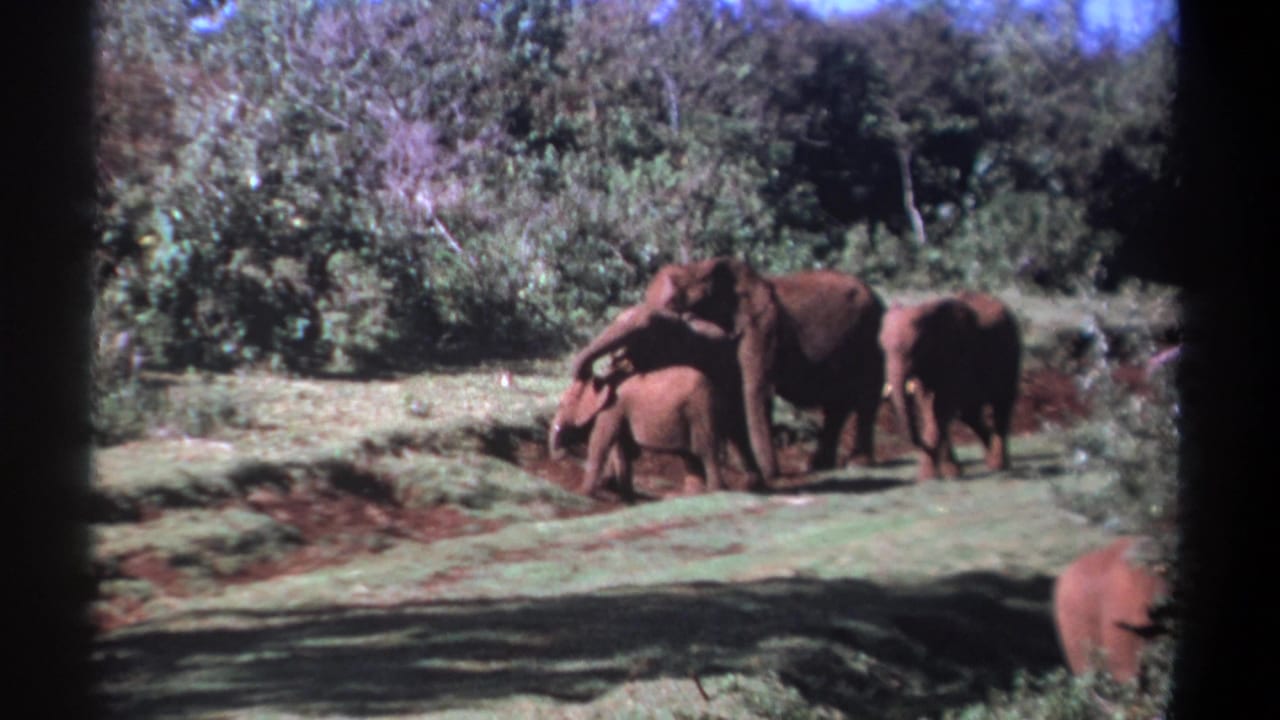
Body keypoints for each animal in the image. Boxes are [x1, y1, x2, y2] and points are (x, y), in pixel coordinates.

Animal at [548, 365, 728, 499]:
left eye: (562, 405)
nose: (561, 454)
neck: (602, 381)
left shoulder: (612, 408)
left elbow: (600, 443)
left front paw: (581, 493)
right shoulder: (620, 412)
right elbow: (623, 449)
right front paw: (628, 498)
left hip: (700, 411)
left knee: (705, 452)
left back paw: (714, 492)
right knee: (689, 456)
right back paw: (690, 496)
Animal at [571, 257, 886, 483]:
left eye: (669, 308)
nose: (584, 374)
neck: (700, 267)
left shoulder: (761, 328)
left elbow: (753, 391)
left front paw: (765, 476)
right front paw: (753, 477)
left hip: (871, 331)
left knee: (864, 395)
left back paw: (856, 463)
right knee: (837, 403)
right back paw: (819, 465)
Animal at [878, 291, 1021, 480]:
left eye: (915, 347)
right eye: (882, 346)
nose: (919, 442)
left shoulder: (956, 354)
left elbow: (942, 407)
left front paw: (929, 477)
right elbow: (927, 406)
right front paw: (949, 473)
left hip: (1011, 357)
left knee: (1001, 406)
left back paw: (999, 465)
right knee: (969, 415)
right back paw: (990, 458)